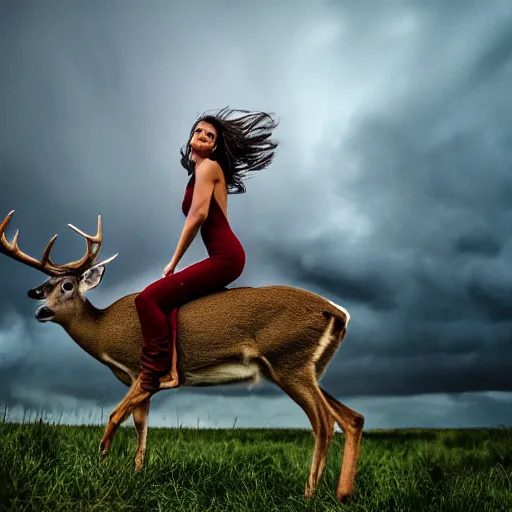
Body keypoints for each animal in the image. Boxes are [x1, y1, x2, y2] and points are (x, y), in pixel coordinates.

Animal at [0, 210, 364, 502]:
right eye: (44, 285)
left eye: (66, 285)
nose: (39, 308)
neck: (104, 332)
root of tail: (337, 312)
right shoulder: (142, 381)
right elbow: (141, 425)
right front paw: (137, 473)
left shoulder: (142, 368)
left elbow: (115, 416)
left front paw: (101, 460)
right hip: (304, 368)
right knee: (352, 417)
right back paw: (343, 494)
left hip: (289, 361)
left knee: (323, 421)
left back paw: (309, 494)